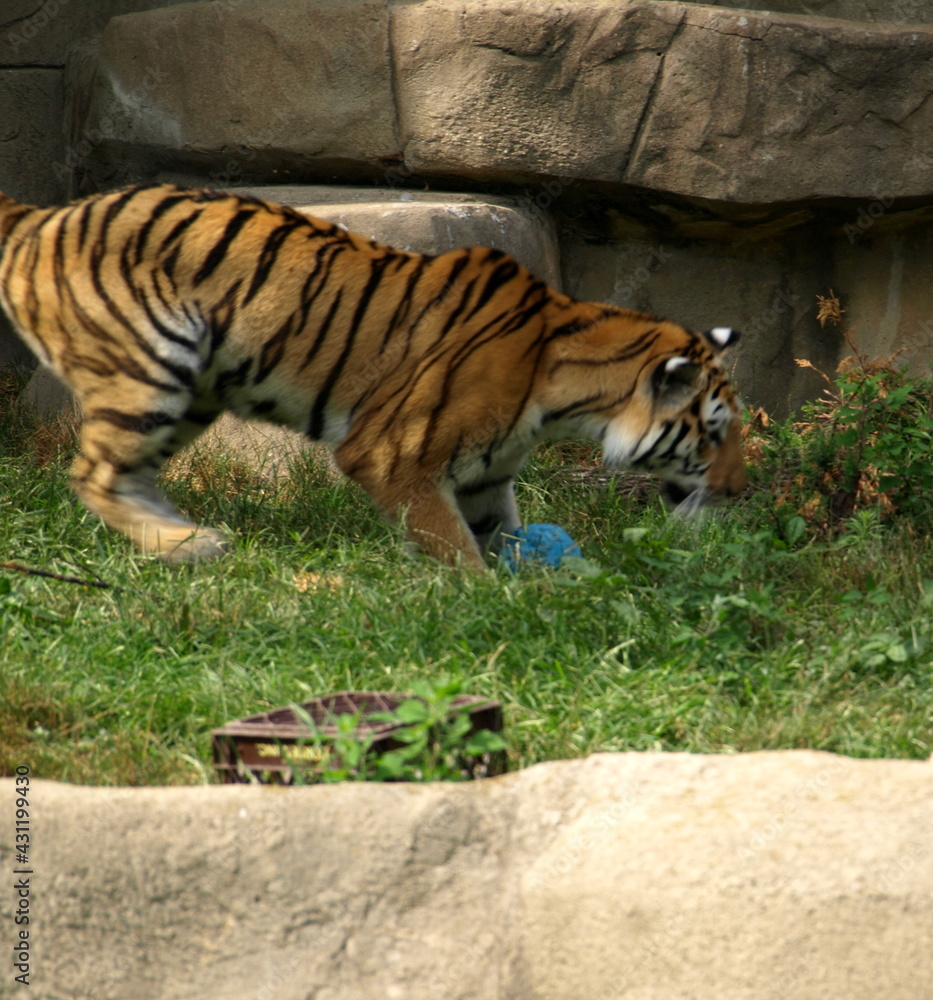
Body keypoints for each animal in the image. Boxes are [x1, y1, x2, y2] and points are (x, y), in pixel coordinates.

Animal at [0, 183, 746, 571]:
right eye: (712, 434)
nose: (740, 492)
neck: (562, 388)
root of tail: (47, 214)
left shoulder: (485, 478)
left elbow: (498, 532)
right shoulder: (395, 456)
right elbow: (452, 545)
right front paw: (484, 600)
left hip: (189, 391)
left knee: (126, 475)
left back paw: (188, 541)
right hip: (151, 367)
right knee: (92, 474)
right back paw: (188, 544)